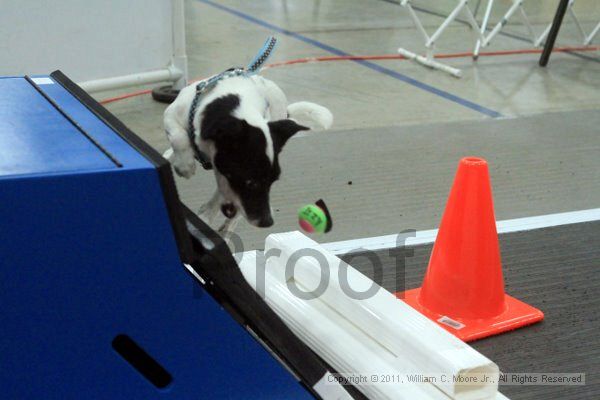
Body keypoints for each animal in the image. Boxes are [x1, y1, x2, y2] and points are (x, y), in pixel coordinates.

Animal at [164, 74, 332, 236]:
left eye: (273, 180)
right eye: (250, 182)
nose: (267, 222)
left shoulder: (225, 177)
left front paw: (205, 217)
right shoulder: (171, 115)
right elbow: (179, 137)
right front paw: (185, 165)